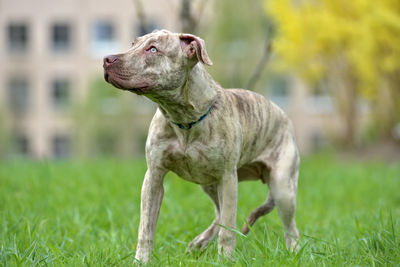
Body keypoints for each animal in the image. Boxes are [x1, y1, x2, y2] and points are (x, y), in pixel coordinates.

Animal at [103, 29, 300, 264]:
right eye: (133, 44)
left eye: (153, 49)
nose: (106, 59)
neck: (183, 118)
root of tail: (285, 118)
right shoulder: (154, 177)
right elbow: (146, 227)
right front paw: (142, 260)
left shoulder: (228, 178)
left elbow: (228, 227)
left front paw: (225, 259)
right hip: (209, 183)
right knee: (219, 213)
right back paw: (200, 242)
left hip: (281, 186)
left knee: (288, 227)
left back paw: (294, 252)